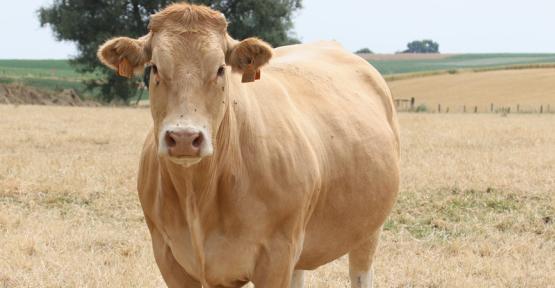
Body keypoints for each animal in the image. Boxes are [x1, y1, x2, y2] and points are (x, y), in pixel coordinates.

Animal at [96, 2, 400, 288]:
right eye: (155, 68)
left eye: (220, 69)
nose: (184, 138)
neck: (199, 194)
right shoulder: (168, 256)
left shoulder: (277, 255)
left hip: (368, 229)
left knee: (361, 272)